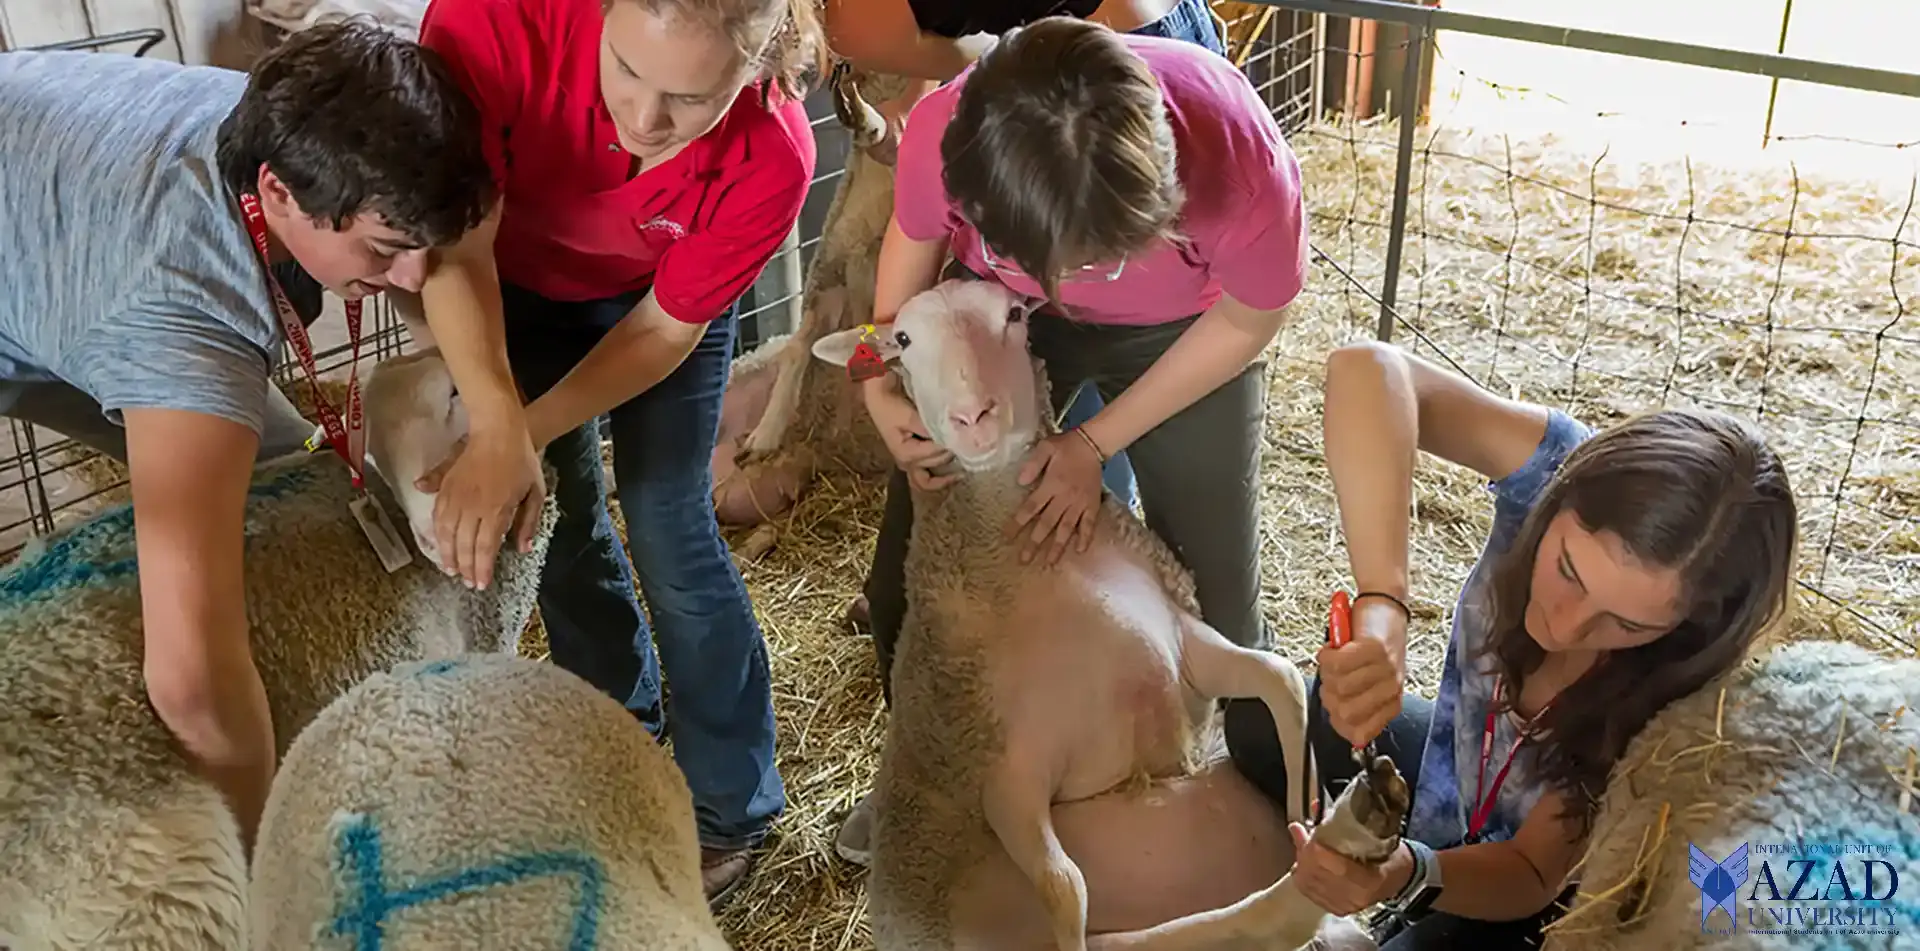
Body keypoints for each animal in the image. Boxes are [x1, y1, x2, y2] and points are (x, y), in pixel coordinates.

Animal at [806, 280, 1320, 951]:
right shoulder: (1005, 778)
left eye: (1015, 315)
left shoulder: (1185, 641)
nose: (974, 417)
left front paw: (1303, 817)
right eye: (903, 340)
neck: (1032, 565)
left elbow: (1284, 683)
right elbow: (1064, 886)